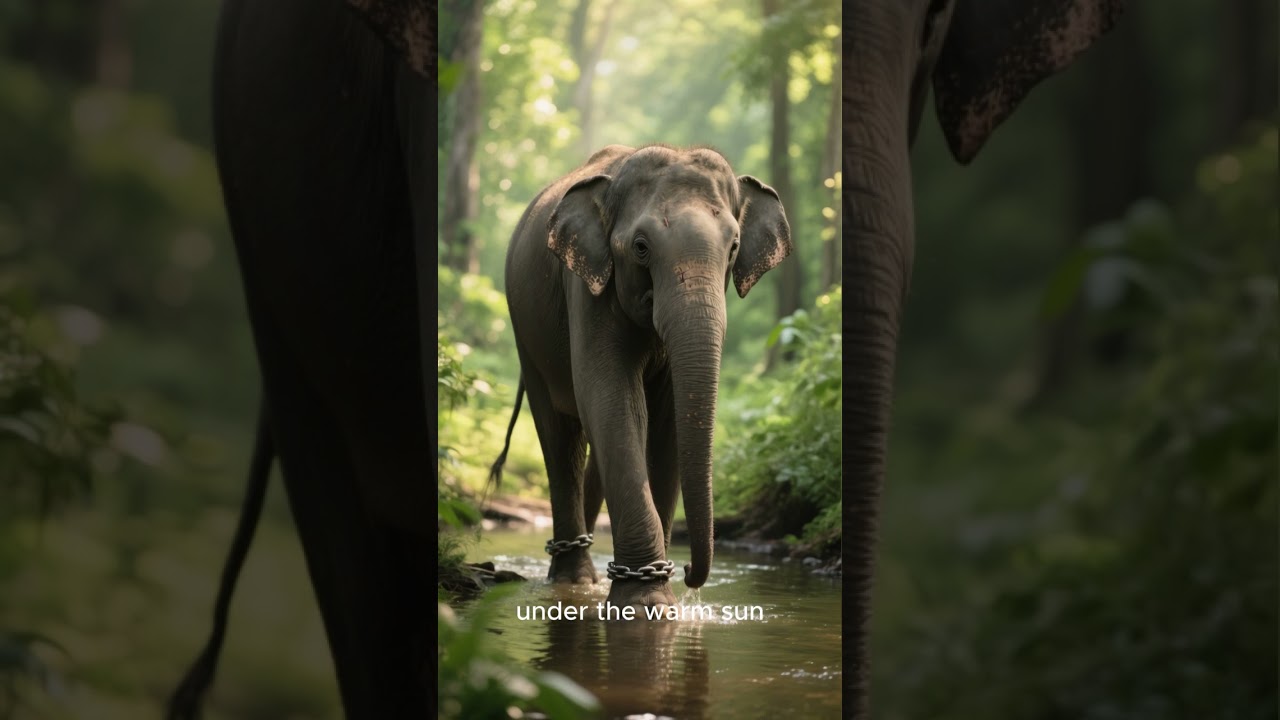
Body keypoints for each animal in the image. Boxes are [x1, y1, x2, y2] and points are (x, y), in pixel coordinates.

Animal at [489, 144, 792, 610]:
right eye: (641, 247)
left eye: (734, 246)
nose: (688, 572)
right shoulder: (588, 289)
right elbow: (610, 398)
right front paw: (646, 602)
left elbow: (666, 420)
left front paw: (655, 594)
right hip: (526, 333)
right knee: (560, 436)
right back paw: (573, 579)